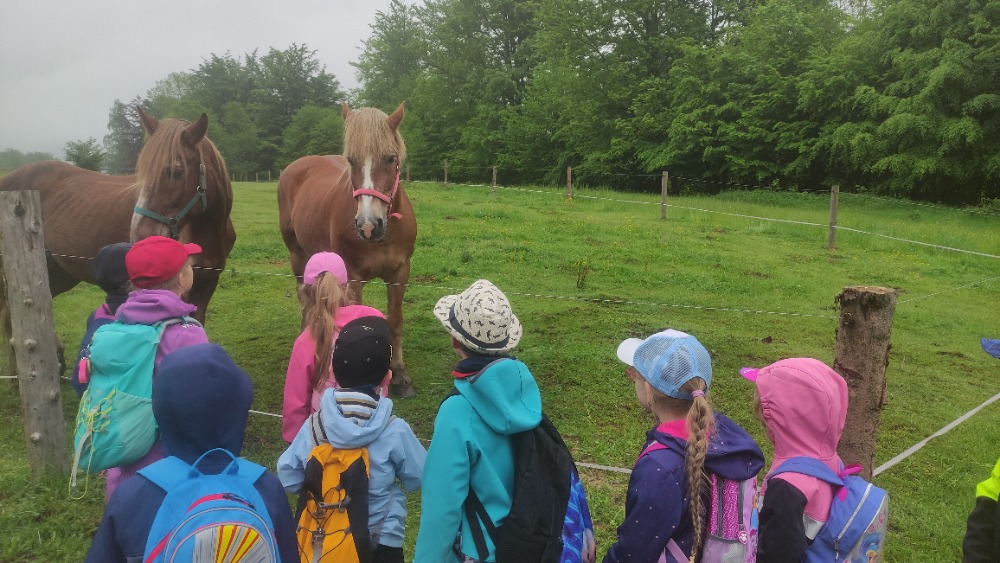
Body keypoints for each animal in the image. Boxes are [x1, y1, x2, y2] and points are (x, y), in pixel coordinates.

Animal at [0, 108, 237, 374]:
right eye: (142, 172)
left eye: (176, 172)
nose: (140, 235)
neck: (206, 230)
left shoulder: (208, 282)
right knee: (10, 316)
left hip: (56, 271)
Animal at [276, 102, 416, 400]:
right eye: (351, 161)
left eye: (390, 158)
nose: (368, 225)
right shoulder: (354, 278)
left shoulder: (400, 273)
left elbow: (395, 321)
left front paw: (400, 374)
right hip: (297, 255)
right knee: (304, 299)